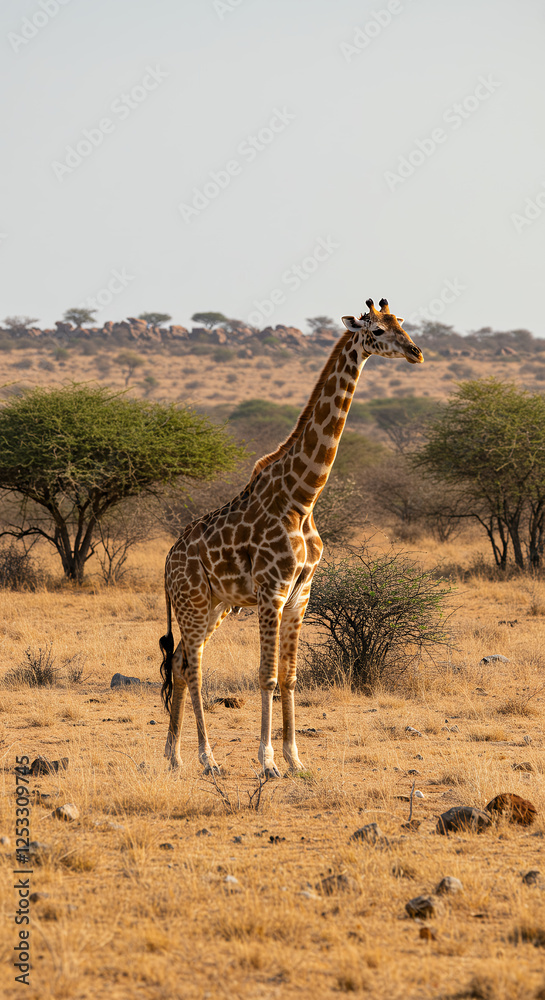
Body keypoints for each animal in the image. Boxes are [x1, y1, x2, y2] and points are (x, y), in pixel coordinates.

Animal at [160, 298, 424, 777]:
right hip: (193, 603)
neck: (303, 497)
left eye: (401, 323)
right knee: (193, 667)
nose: (416, 352)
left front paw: (295, 759)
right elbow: (266, 676)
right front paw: (267, 762)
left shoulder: (302, 592)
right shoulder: (272, 591)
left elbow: (290, 677)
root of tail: (167, 561)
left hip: (215, 606)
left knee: (182, 662)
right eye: (376, 330)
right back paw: (208, 759)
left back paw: (174, 755)